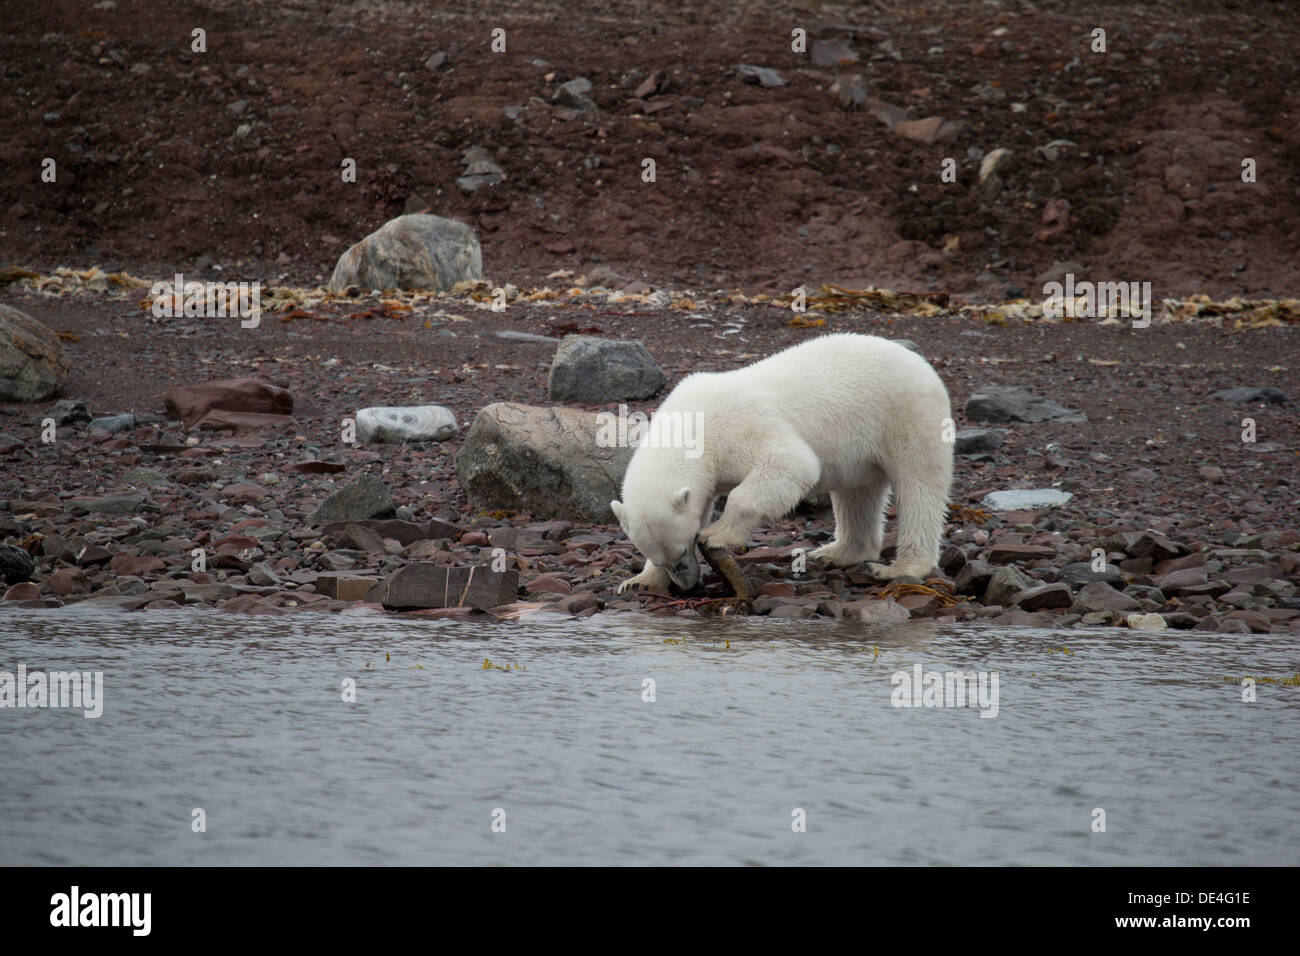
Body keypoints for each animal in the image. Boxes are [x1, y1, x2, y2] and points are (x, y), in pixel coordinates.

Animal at [610, 333, 953, 593]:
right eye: (663, 559)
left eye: (684, 550)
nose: (687, 583)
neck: (692, 422)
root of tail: (923, 365)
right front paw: (638, 581)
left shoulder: (739, 426)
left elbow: (791, 464)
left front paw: (716, 533)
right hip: (861, 450)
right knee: (857, 494)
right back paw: (836, 553)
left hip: (907, 416)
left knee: (918, 487)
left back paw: (899, 568)